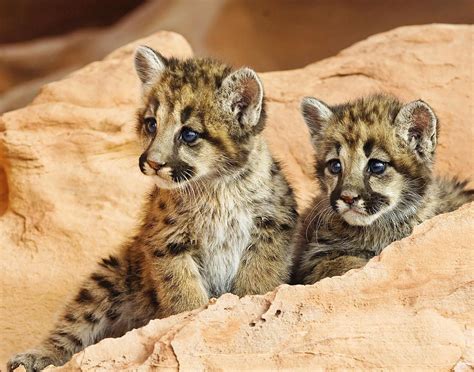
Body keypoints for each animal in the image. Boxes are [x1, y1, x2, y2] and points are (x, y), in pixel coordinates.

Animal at [8, 48, 296, 370]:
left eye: (189, 134)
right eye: (151, 124)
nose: (153, 163)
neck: (215, 188)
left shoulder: (272, 227)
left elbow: (259, 279)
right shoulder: (166, 243)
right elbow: (183, 295)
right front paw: (190, 323)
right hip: (113, 273)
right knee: (75, 322)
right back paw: (36, 355)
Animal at [290, 94, 472, 284]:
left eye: (376, 166)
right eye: (335, 166)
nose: (348, 198)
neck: (378, 229)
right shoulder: (313, 256)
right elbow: (337, 264)